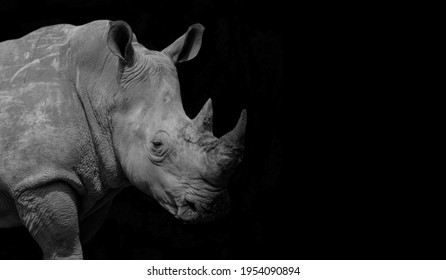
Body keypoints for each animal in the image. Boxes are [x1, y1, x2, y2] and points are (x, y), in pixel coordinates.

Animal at [0, 20, 247, 260]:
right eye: (157, 145)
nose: (213, 207)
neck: (104, 87)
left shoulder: (94, 189)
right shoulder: (39, 179)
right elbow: (65, 249)